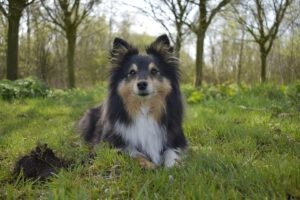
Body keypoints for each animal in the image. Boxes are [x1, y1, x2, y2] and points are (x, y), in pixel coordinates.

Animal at [78, 34, 188, 169]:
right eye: (132, 72)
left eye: (154, 71)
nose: (141, 84)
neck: (144, 108)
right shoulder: (110, 144)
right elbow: (133, 153)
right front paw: (149, 165)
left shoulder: (177, 139)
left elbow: (172, 152)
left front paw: (173, 166)